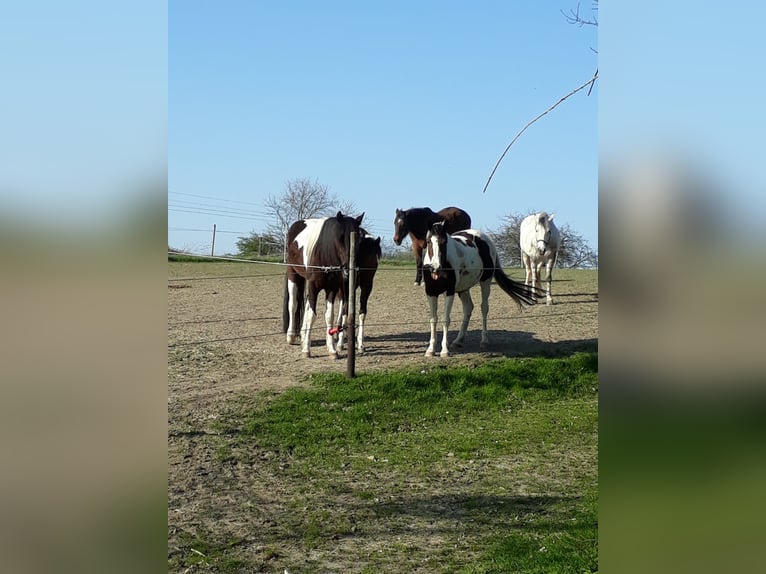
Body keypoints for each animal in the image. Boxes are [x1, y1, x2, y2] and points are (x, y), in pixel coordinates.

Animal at [282, 210, 364, 358]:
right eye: (341, 237)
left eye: (358, 239)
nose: (348, 269)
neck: (325, 256)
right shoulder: (313, 286)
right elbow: (311, 315)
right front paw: (306, 349)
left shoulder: (331, 289)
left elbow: (329, 316)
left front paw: (332, 349)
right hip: (293, 275)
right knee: (293, 305)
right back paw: (291, 336)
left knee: (306, 304)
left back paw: (302, 334)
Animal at [421, 221, 539, 357]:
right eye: (428, 241)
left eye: (444, 241)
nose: (435, 267)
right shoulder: (430, 292)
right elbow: (433, 319)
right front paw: (430, 350)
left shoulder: (449, 292)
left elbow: (445, 319)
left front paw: (444, 351)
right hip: (463, 289)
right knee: (468, 308)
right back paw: (458, 340)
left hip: (485, 282)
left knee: (484, 308)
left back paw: (484, 340)